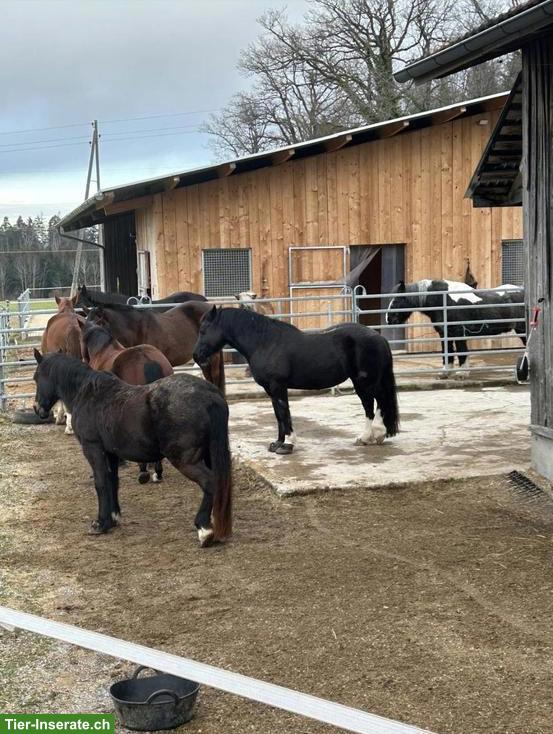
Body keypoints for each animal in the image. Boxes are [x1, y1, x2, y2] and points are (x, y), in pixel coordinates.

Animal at [32, 351, 232, 547]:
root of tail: (210, 397)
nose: (37, 408)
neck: (88, 394)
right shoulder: (111, 453)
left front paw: (101, 523)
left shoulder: (93, 448)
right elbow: (112, 481)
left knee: (210, 482)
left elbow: (101, 483)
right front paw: (113, 518)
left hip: (185, 460)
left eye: (36, 377)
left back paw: (204, 530)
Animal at [193, 307, 399, 455]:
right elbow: (278, 414)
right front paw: (277, 443)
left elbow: (284, 412)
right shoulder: (270, 389)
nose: (196, 356)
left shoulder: (278, 386)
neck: (265, 342)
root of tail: (378, 337)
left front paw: (288, 445)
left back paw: (370, 436)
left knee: (374, 403)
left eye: (203, 330)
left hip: (364, 381)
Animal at [386, 279, 526, 376]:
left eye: (397, 300)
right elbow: (447, 352)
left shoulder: (459, 333)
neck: (444, 300)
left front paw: (462, 373)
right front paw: (445, 372)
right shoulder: (445, 334)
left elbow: (461, 351)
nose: (388, 319)